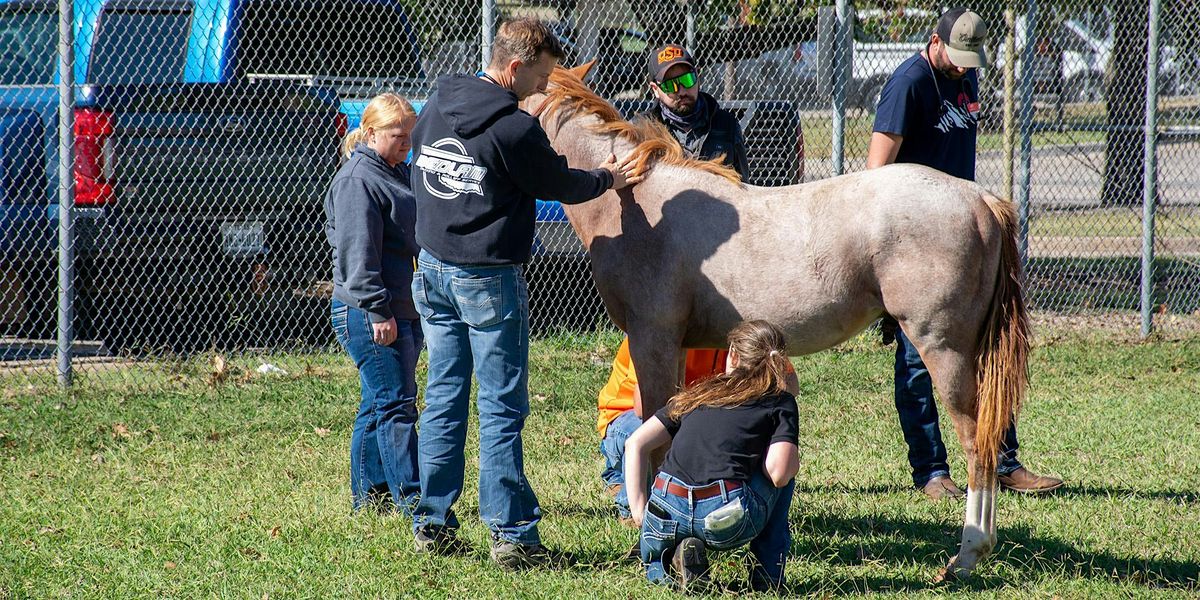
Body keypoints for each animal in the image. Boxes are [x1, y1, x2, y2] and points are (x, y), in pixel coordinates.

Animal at [525, 63, 1032, 578]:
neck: (638, 203)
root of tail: (979, 197)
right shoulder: (679, 348)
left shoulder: (653, 341)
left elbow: (655, 439)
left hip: (945, 350)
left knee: (978, 443)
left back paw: (967, 556)